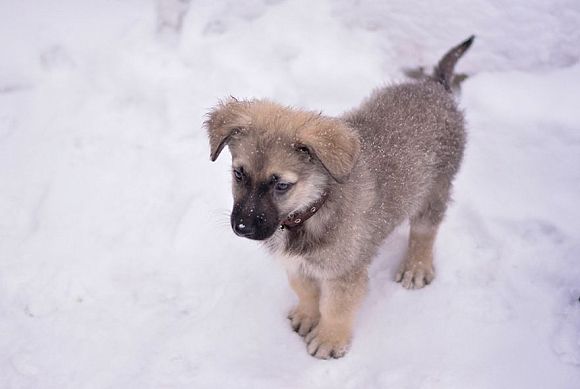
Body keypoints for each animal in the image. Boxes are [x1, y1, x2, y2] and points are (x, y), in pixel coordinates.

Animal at [206, 35, 474, 358]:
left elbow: (336, 308)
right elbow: (305, 290)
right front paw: (307, 316)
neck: (311, 211)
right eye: (239, 174)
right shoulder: (297, 265)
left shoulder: (344, 273)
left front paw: (329, 339)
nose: (242, 228)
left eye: (281, 185)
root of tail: (434, 86)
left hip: (435, 189)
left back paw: (416, 267)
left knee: (425, 231)